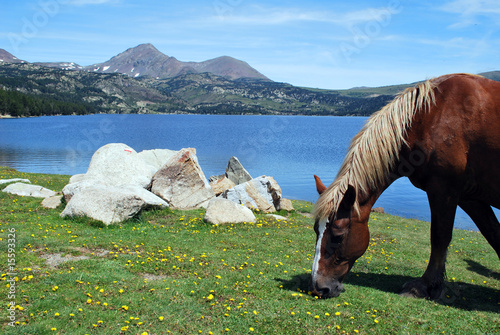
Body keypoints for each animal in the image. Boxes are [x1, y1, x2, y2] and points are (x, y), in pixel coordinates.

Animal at [312, 73, 500, 300]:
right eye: (316, 230)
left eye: (338, 236)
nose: (318, 287)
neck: (430, 116)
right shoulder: (470, 198)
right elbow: (495, 236)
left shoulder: (443, 190)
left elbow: (440, 237)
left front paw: (424, 286)